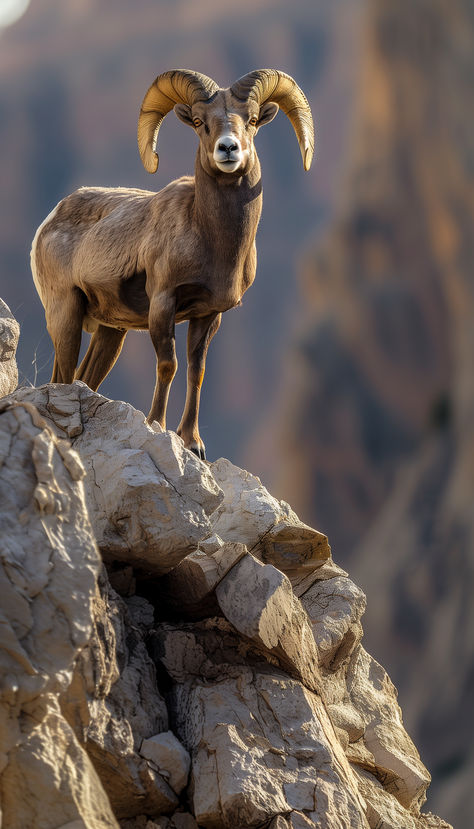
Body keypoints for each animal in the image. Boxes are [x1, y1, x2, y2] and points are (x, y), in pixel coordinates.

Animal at [32, 69, 314, 460]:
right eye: (199, 122)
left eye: (253, 120)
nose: (228, 149)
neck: (210, 239)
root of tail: (50, 219)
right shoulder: (163, 303)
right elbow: (168, 365)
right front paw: (156, 425)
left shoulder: (208, 315)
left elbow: (196, 371)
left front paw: (193, 444)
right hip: (66, 315)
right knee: (61, 377)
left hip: (110, 332)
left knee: (84, 378)